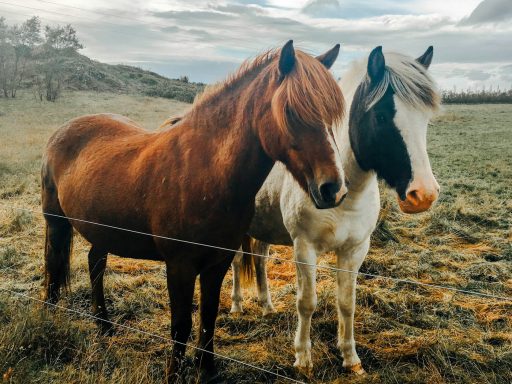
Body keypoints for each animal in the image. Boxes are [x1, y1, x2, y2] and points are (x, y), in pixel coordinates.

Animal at [43, 40, 348, 382]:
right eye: (290, 111)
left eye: (332, 116)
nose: (333, 189)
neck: (205, 172)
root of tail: (64, 130)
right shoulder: (180, 265)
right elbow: (181, 324)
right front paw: (174, 374)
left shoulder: (218, 262)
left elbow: (208, 317)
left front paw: (208, 369)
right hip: (55, 221)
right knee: (53, 264)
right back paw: (51, 317)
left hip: (104, 230)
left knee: (95, 264)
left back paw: (104, 325)